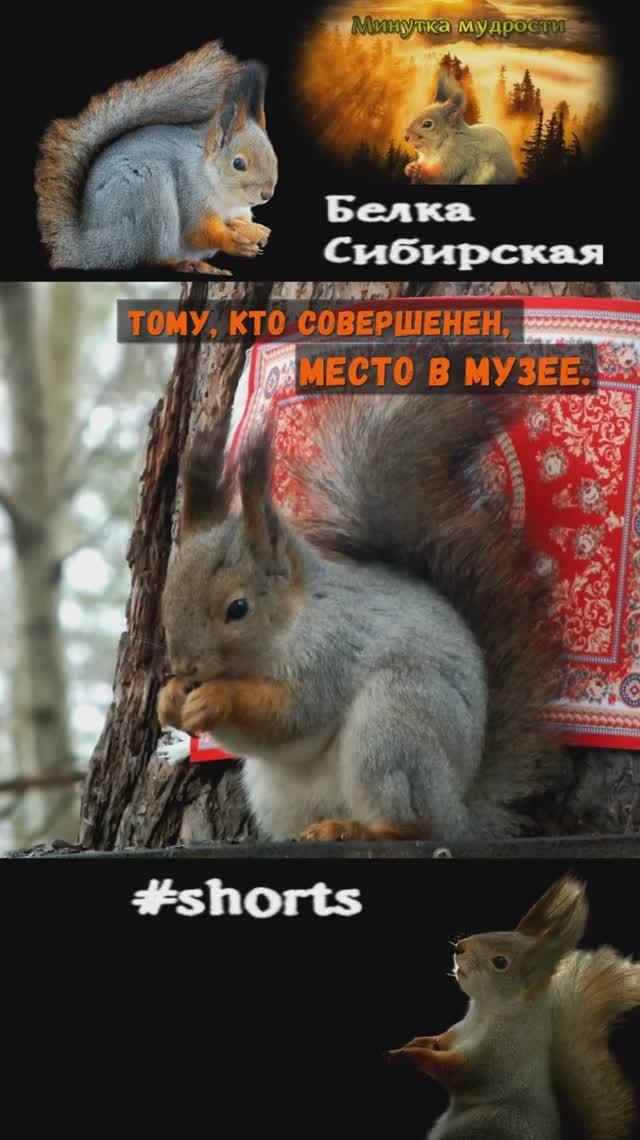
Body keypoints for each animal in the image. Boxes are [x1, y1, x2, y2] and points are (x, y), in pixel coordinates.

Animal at [34, 42, 277, 273]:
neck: (225, 195)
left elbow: (240, 221)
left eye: (274, 159)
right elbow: (198, 232)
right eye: (238, 164)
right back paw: (187, 264)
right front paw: (233, 242)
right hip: (149, 196)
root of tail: (88, 246)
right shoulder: (192, 195)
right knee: (148, 258)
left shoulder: (239, 210)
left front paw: (257, 230)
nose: (266, 194)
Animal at [156, 393, 566, 844]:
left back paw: (359, 830)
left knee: (416, 826)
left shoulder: (332, 650)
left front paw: (216, 697)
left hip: (392, 727)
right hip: (276, 789)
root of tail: (460, 815)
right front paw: (170, 700)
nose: (184, 666)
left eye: (238, 609)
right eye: (167, 594)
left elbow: (294, 715)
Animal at [390, 875, 640, 1140]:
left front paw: (409, 1055)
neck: (486, 1011)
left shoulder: (497, 1055)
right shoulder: (460, 1030)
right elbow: (441, 1040)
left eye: (500, 962)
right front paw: (417, 1042)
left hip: (488, 1123)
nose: (460, 947)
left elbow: (456, 1071)